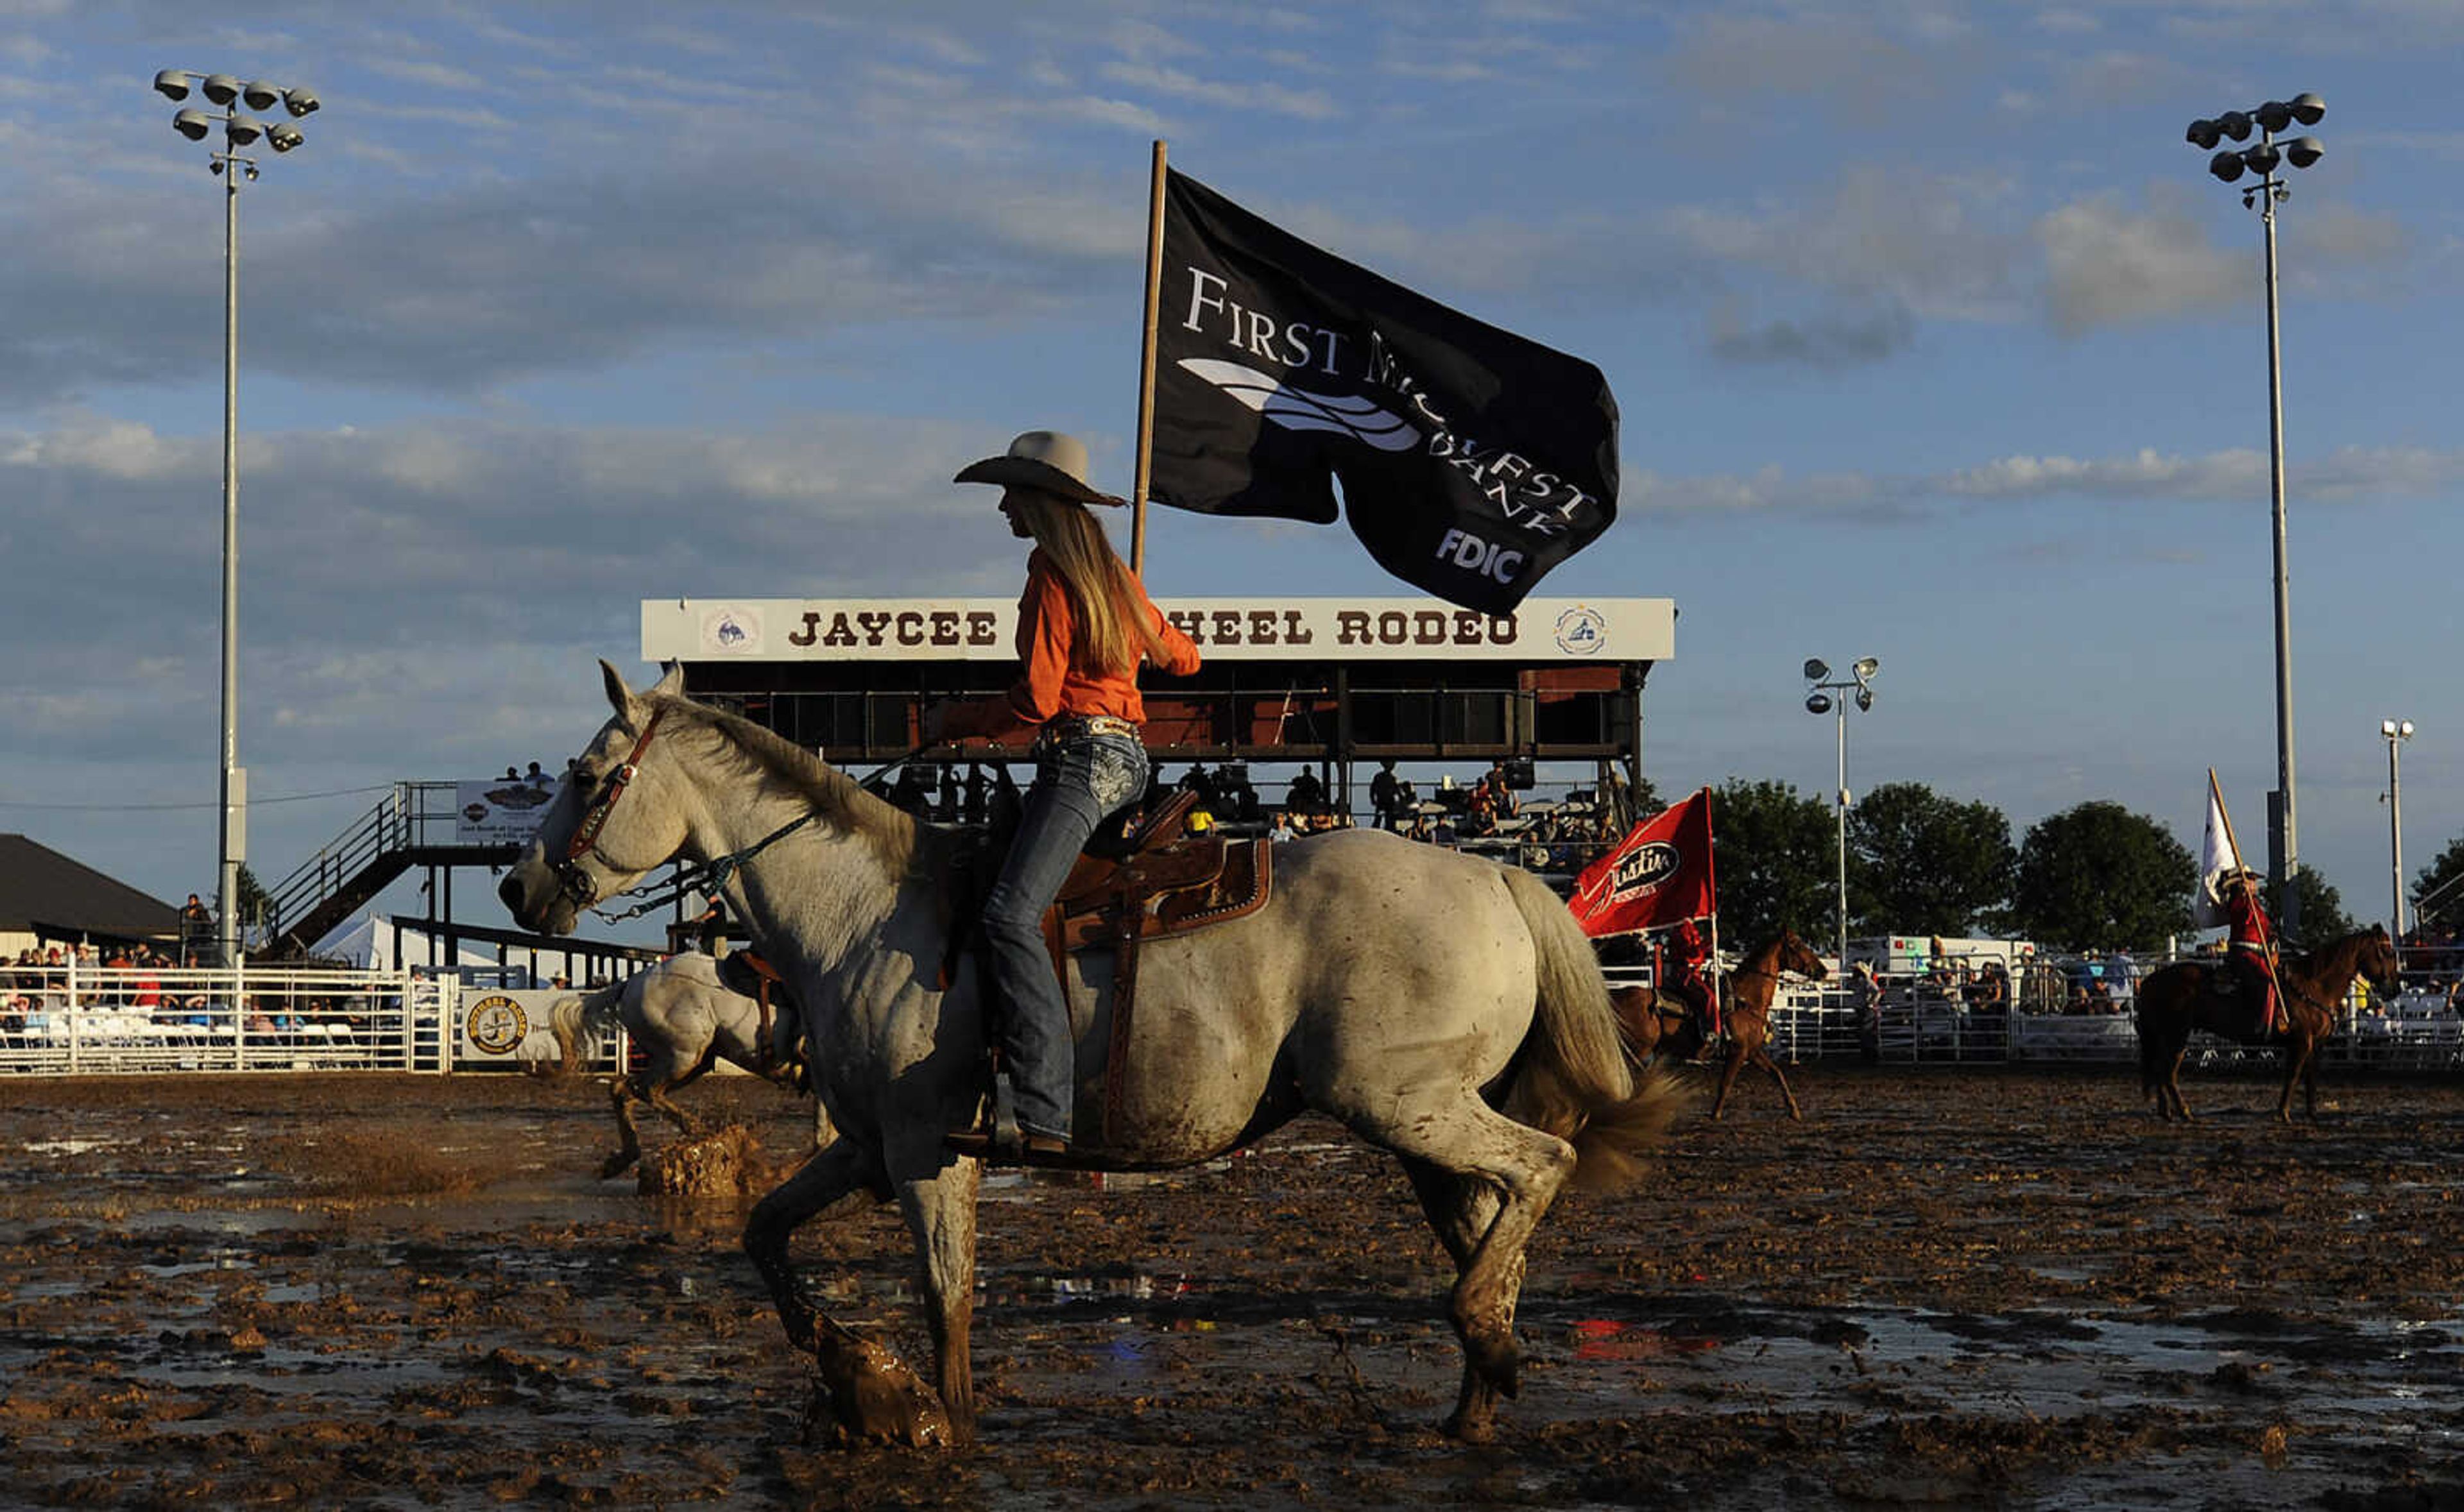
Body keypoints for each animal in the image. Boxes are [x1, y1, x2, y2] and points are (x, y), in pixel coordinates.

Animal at [552, 960, 813, 1187]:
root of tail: (631, 983)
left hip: (692, 1061)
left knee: (624, 1090)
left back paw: (622, 1159)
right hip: (682, 1056)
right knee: (645, 1090)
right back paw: (698, 1129)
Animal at [1616, 931, 1833, 1117]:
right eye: (1797, 944)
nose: (1823, 971)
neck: (1744, 999)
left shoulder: (1752, 1051)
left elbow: (1777, 1073)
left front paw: (1794, 1111)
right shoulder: (1738, 1052)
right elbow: (1726, 1084)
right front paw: (1715, 1115)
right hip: (1638, 1049)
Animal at [2128, 926, 2395, 1128]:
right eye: (2387, 951)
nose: (2394, 988)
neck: (2313, 985)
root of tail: (2151, 980)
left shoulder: (2316, 1045)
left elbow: (2311, 1078)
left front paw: (2312, 1114)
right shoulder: (2301, 1042)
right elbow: (2293, 1076)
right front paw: (2284, 1114)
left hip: (2167, 1037)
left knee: (2160, 1069)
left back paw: (2166, 1112)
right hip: (2177, 1035)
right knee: (2168, 1072)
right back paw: (2184, 1112)